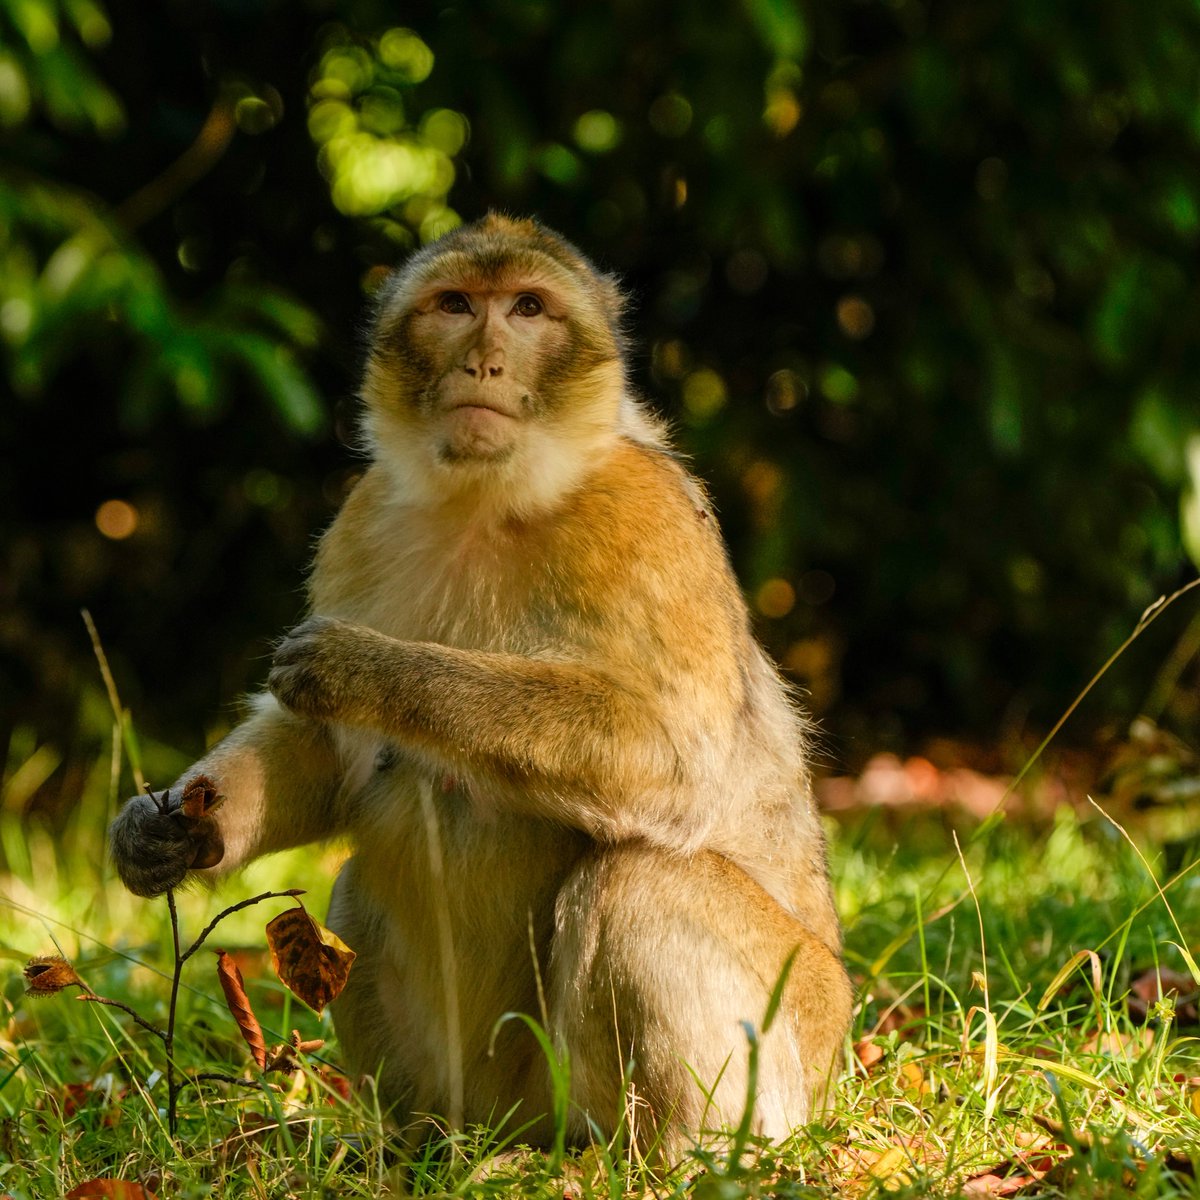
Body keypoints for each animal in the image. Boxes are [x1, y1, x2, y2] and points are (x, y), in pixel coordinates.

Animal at [110, 214, 852, 1153]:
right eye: (456, 305)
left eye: (528, 309)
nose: (484, 362)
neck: (486, 501)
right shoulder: (360, 519)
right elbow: (323, 752)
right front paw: (172, 828)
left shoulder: (643, 517)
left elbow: (678, 762)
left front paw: (369, 670)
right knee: (354, 898)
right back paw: (419, 1145)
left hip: (790, 1047)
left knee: (641, 882)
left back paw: (687, 1159)